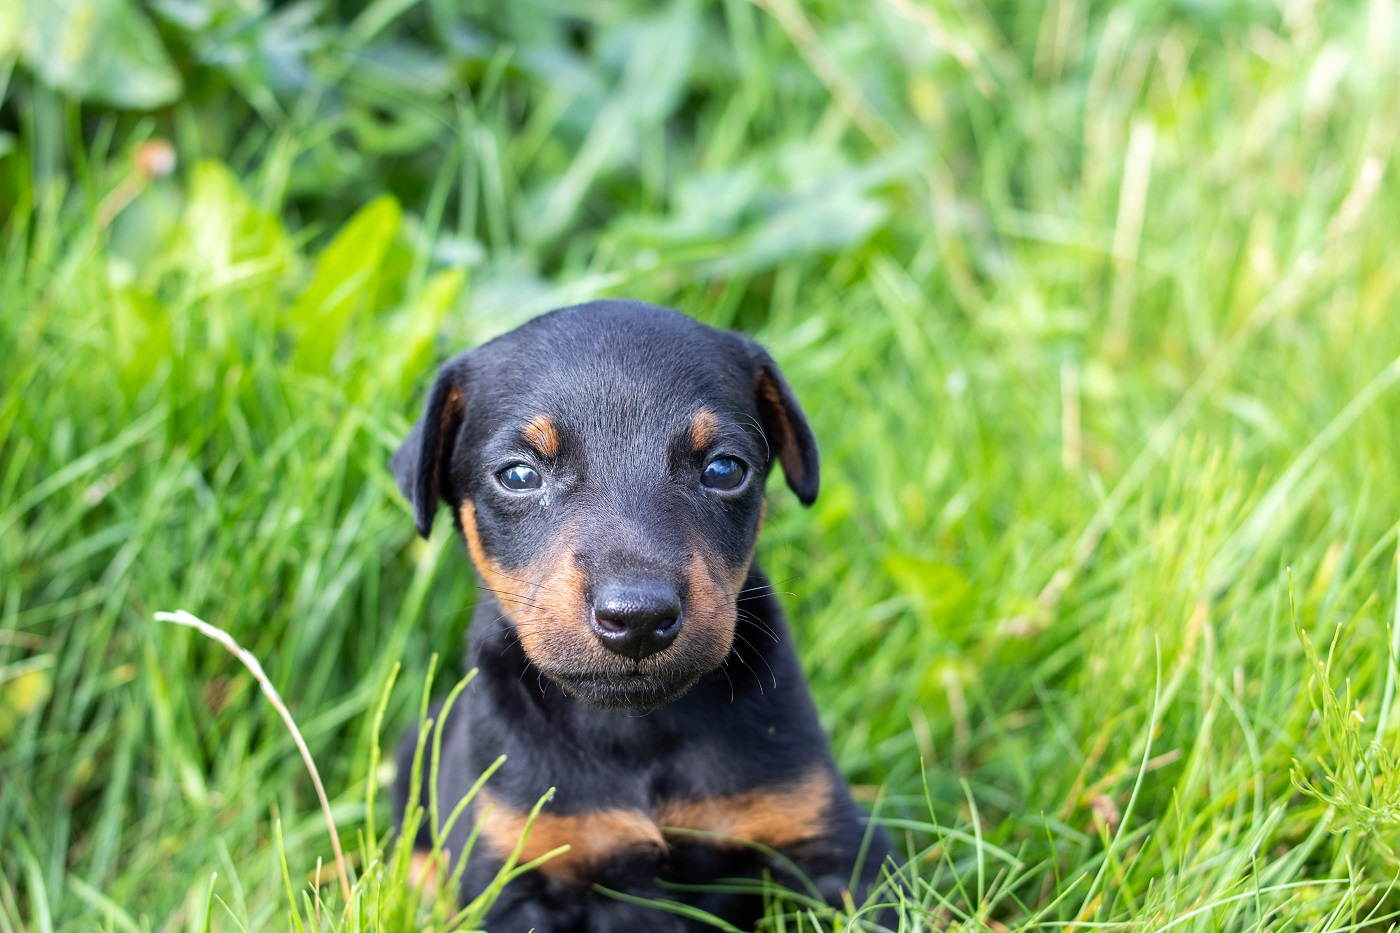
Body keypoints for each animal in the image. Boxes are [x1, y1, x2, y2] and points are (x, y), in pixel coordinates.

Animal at [392, 301, 896, 924]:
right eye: (519, 474)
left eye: (725, 469)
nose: (636, 617)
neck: (636, 730)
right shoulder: (514, 876)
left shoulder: (830, 842)